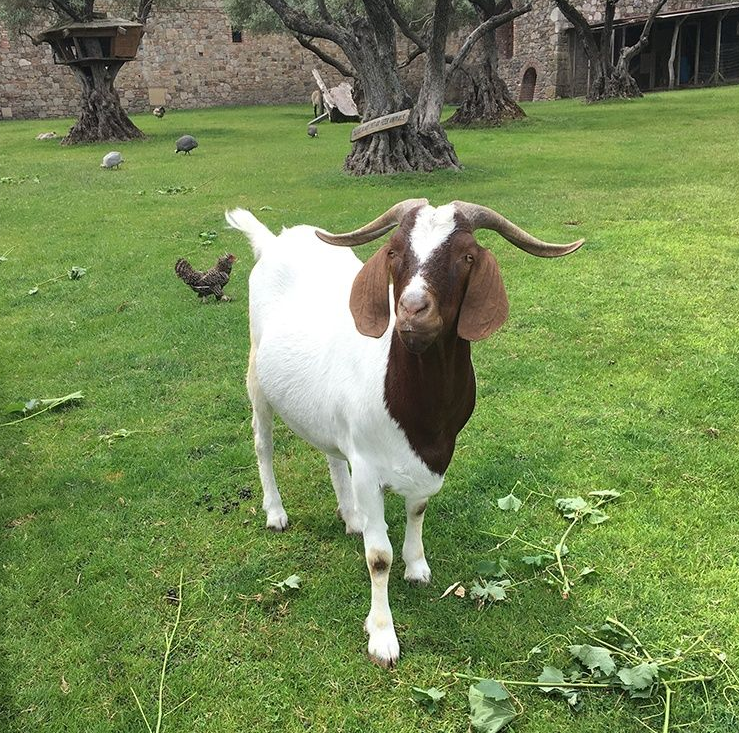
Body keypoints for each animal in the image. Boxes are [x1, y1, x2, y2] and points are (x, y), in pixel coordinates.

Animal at [225, 200, 583, 668]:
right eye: (394, 251)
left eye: (467, 256)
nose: (413, 309)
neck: (418, 414)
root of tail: (273, 242)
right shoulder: (367, 466)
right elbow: (379, 558)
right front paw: (382, 636)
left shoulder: (434, 459)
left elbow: (418, 510)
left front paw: (417, 568)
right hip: (257, 377)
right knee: (263, 443)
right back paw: (275, 512)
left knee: (330, 453)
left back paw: (351, 517)